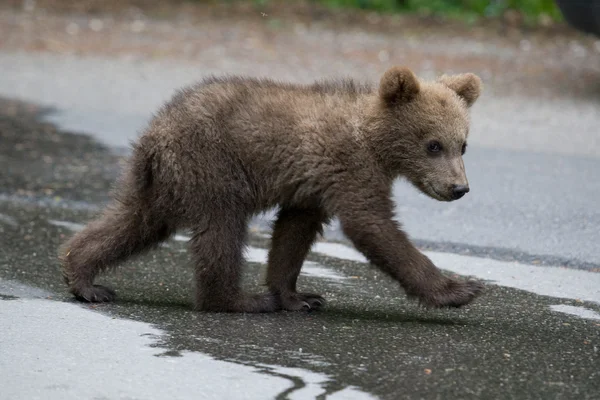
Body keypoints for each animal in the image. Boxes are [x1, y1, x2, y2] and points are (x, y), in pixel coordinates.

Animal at [59, 65, 482, 312]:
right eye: (433, 145)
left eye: (463, 145)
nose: (459, 188)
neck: (375, 142)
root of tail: (154, 133)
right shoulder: (349, 168)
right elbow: (373, 226)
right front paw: (460, 288)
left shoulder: (313, 187)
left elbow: (293, 235)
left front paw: (300, 296)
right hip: (212, 166)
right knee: (221, 231)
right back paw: (240, 300)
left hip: (164, 183)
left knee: (134, 221)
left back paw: (83, 278)